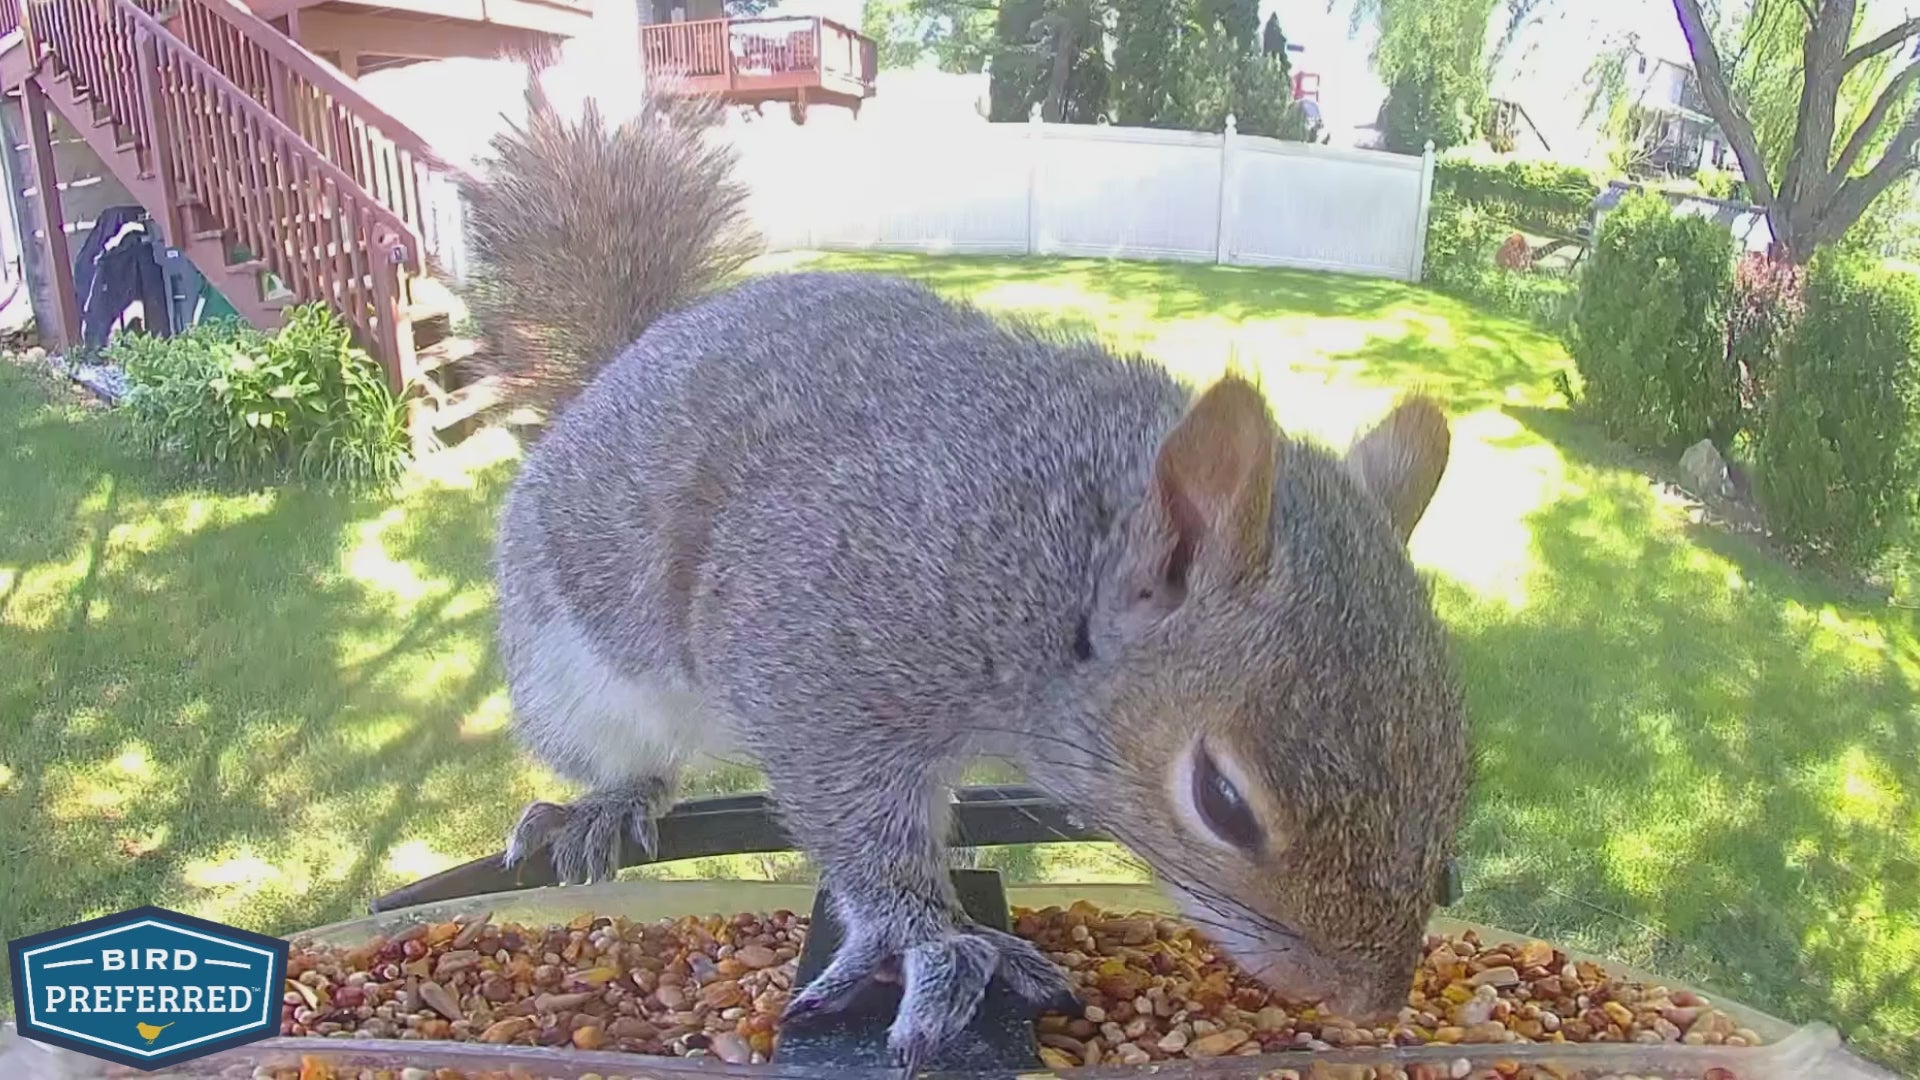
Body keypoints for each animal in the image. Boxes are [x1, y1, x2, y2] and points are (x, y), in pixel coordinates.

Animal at [473, 72, 1470, 1075]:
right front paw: (932, 942)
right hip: (570, 672)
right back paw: (605, 806)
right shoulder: (813, 654)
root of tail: (627, 358)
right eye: (1222, 802)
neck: (1039, 556)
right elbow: (857, 822)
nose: (1368, 1003)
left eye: (1456, 767)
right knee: (631, 757)